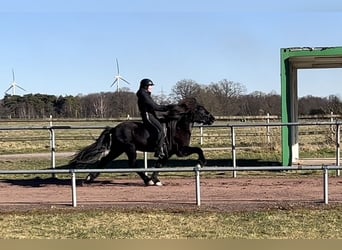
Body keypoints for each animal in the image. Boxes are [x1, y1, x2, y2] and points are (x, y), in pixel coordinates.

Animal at [68, 97, 215, 186]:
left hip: (117, 149)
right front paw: (202, 162)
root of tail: (115, 128)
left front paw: (156, 180)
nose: (212, 118)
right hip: (129, 148)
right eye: (201, 110)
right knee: (132, 164)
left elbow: (159, 165)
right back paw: (146, 180)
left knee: (104, 161)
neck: (178, 126)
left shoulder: (169, 153)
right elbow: (198, 149)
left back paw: (89, 178)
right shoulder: (180, 150)